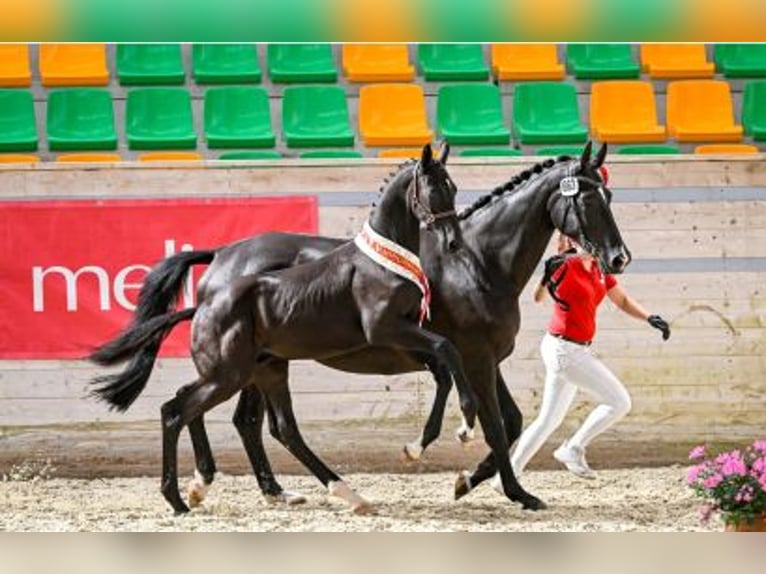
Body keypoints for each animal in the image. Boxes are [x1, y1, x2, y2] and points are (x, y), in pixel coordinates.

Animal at [94, 141, 628, 513]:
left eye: (610, 195)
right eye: (588, 201)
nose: (619, 258)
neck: (479, 261)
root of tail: (224, 256)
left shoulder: (486, 359)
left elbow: (512, 422)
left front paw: (468, 480)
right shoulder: (473, 357)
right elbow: (495, 423)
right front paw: (511, 489)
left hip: (262, 365)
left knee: (246, 422)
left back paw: (258, 489)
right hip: (245, 367)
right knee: (217, 414)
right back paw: (207, 488)